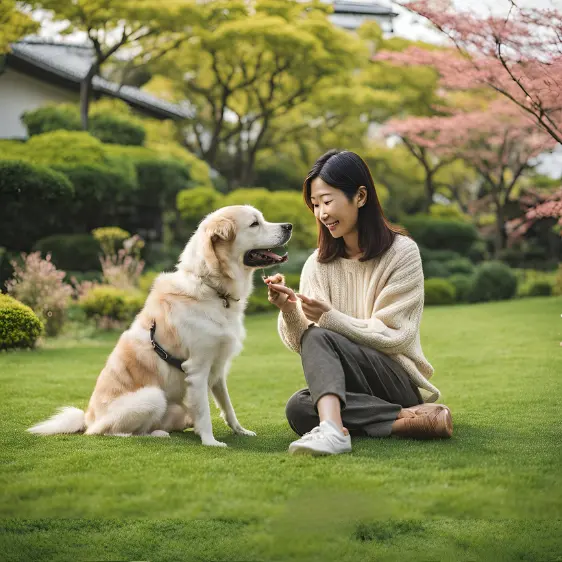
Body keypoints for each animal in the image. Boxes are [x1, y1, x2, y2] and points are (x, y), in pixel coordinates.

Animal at [29, 203, 294, 444]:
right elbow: (205, 413)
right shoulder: (197, 370)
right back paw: (156, 434)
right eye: (254, 223)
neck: (211, 288)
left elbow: (227, 407)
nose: (289, 226)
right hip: (152, 397)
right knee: (113, 432)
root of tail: (88, 419)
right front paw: (211, 443)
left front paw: (240, 431)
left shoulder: (218, 369)